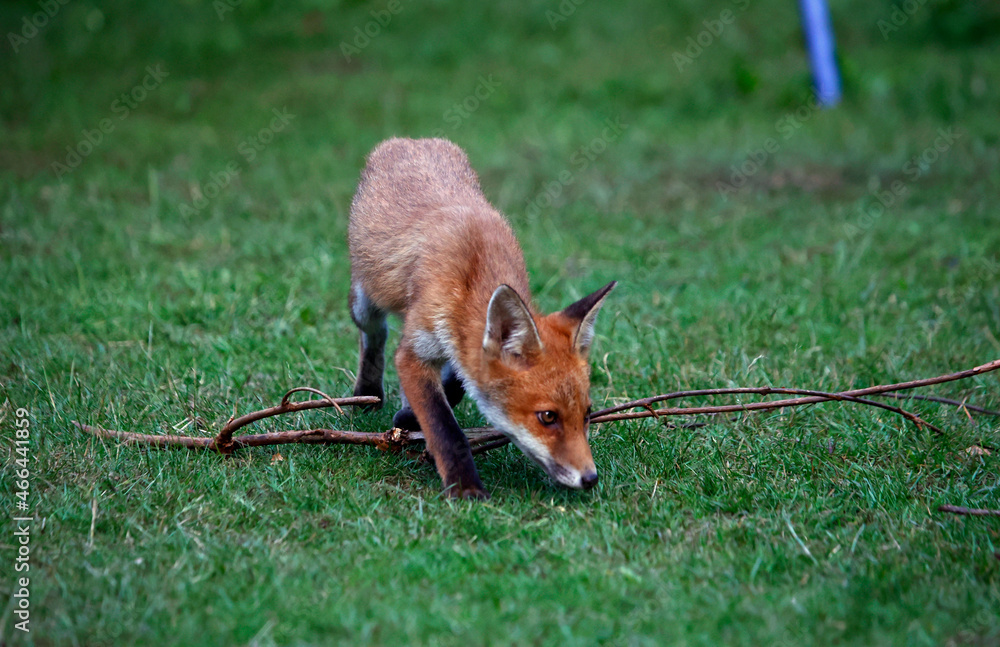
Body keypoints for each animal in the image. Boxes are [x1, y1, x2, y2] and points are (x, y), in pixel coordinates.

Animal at [348, 137, 616, 499]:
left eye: (587, 414)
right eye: (548, 417)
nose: (590, 478)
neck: (474, 269)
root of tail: (412, 140)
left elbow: (455, 386)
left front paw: (409, 417)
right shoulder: (415, 351)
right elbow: (444, 426)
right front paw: (465, 487)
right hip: (364, 303)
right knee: (375, 336)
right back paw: (368, 392)